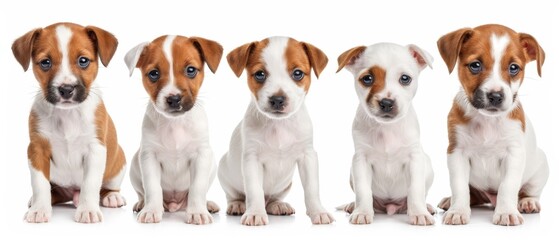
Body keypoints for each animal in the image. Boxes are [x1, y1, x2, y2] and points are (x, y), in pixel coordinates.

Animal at [12, 22, 127, 223]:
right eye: (45, 62)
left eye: (83, 61)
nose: (66, 89)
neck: (68, 115)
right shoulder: (37, 150)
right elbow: (40, 183)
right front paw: (39, 209)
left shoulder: (95, 150)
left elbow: (90, 183)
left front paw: (88, 209)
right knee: (54, 193)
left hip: (118, 161)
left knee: (107, 187)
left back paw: (111, 196)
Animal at [126, 34, 224, 224]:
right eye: (154, 74)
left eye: (191, 70)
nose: (174, 99)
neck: (175, 124)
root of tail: (174, 205)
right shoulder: (149, 157)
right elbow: (152, 187)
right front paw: (151, 210)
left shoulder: (201, 156)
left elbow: (197, 187)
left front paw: (198, 212)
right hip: (135, 164)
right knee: (142, 192)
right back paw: (142, 204)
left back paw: (208, 204)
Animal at [218, 35, 332, 225]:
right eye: (260, 74)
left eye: (298, 73)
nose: (278, 99)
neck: (278, 126)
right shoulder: (252, 160)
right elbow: (254, 190)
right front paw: (255, 213)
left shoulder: (307, 157)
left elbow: (312, 188)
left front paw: (318, 211)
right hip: (225, 173)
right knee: (235, 195)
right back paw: (238, 205)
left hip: (284, 186)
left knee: (273, 198)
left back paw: (278, 205)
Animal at [336, 42, 438, 225]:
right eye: (367, 79)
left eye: (405, 78)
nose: (387, 102)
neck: (387, 129)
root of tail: (390, 206)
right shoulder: (361, 161)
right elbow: (363, 191)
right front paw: (362, 212)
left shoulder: (415, 159)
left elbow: (416, 189)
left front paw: (420, 213)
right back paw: (352, 206)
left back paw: (427, 207)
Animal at [438, 24, 552, 227]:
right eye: (475, 65)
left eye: (514, 68)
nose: (496, 96)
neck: (487, 121)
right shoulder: (457, 152)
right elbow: (459, 186)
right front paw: (458, 210)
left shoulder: (513, 154)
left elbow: (508, 186)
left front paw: (506, 212)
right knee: (472, 194)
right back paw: (450, 201)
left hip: (540, 167)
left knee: (529, 191)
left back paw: (528, 202)